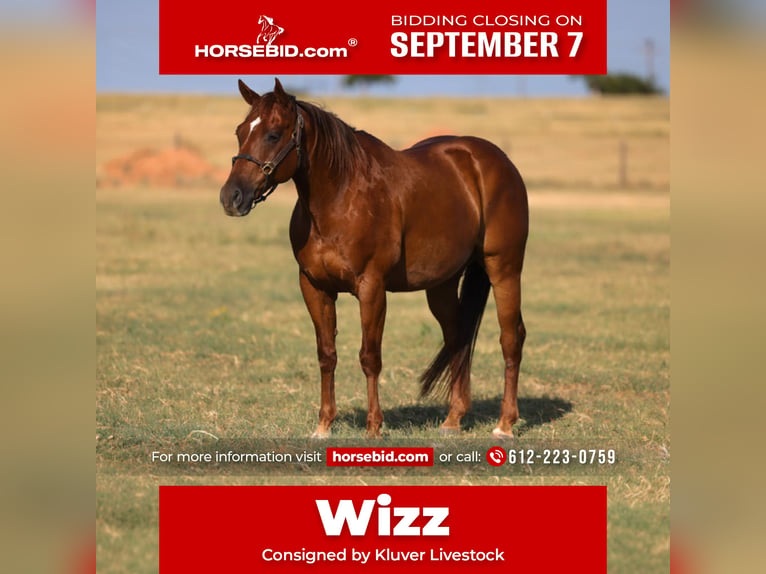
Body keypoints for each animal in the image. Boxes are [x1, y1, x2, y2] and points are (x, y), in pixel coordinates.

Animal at [220, 78, 528, 439]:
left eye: (272, 134)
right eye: (240, 131)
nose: (231, 197)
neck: (340, 197)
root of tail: (496, 160)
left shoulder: (371, 288)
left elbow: (370, 357)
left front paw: (374, 427)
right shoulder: (314, 287)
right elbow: (326, 354)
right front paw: (324, 425)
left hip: (504, 269)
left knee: (511, 337)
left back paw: (505, 424)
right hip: (442, 283)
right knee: (457, 337)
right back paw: (453, 419)